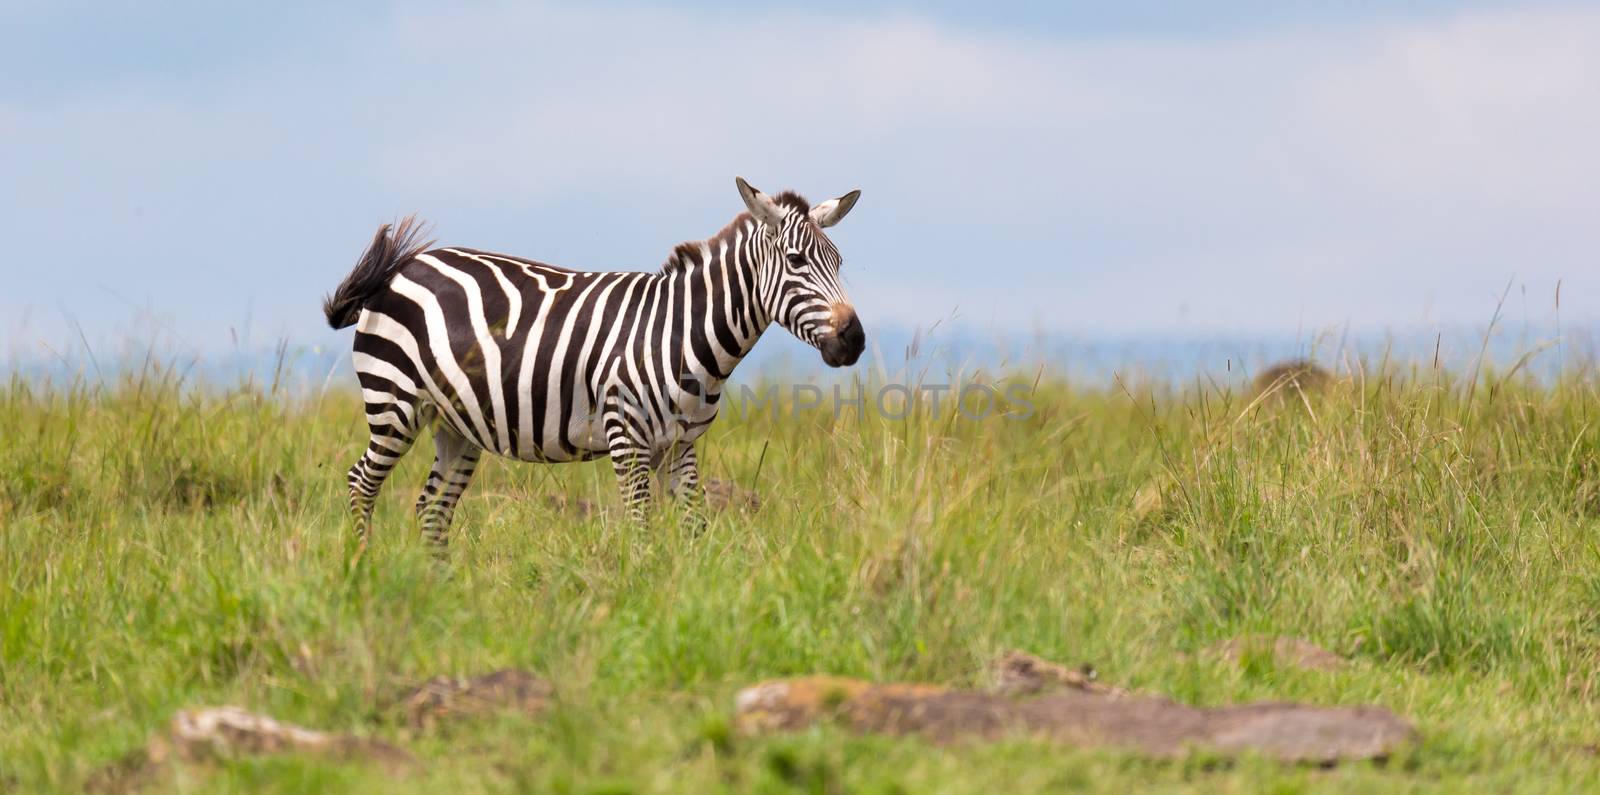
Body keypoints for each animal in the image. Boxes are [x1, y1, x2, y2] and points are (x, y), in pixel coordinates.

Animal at [323, 175, 864, 543]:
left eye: (839, 263)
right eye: (796, 262)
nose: (854, 340)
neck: (682, 335)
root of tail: (400, 269)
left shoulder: (682, 446)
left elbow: (694, 527)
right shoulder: (627, 440)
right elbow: (642, 530)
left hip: (455, 425)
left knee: (431, 510)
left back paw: (444, 592)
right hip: (394, 404)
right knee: (360, 484)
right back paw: (363, 569)